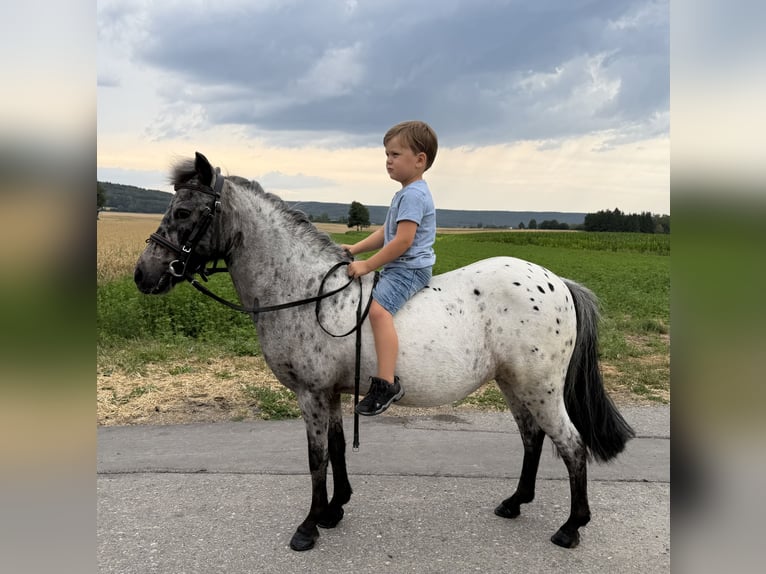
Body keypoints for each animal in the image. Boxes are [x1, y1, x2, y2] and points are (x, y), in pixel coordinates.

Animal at [134, 152, 635, 552]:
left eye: (183, 210)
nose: (143, 275)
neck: (305, 291)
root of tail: (556, 282)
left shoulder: (311, 393)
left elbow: (316, 458)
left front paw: (308, 527)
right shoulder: (331, 392)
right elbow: (337, 448)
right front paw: (334, 511)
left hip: (540, 387)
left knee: (571, 445)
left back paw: (571, 528)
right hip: (514, 384)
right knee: (533, 438)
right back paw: (515, 503)